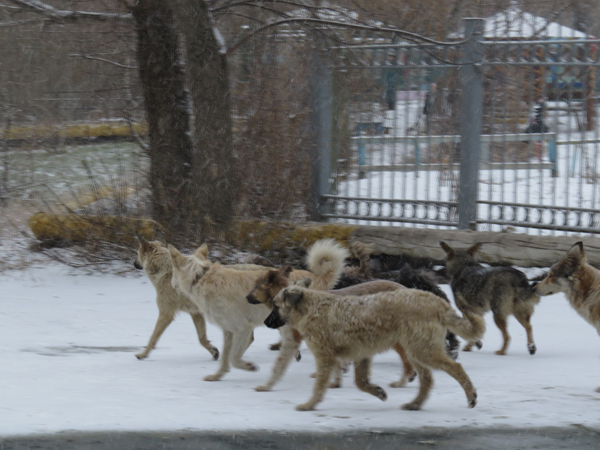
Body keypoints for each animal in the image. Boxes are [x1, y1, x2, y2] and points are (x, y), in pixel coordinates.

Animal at [168, 237, 346, 382]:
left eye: (172, 273)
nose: (171, 283)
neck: (200, 278)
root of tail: (319, 278)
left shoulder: (243, 329)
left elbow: (233, 358)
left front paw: (250, 367)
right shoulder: (229, 331)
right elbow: (226, 358)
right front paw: (217, 376)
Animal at [264, 284, 486, 412]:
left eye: (275, 305)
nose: (266, 322)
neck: (312, 309)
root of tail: (437, 301)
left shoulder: (325, 357)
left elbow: (319, 386)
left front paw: (310, 405)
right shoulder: (361, 355)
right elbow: (360, 382)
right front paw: (378, 392)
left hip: (423, 351)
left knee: (455, 368)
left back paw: (471, 396)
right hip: (415, 351)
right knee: (427, 380)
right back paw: (415, 404)